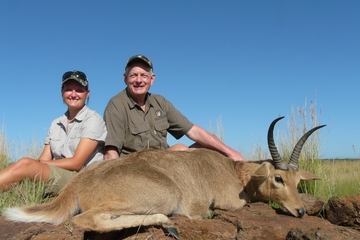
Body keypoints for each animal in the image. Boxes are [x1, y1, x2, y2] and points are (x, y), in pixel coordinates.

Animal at [3, 116, 324, 238]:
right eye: (278, 178)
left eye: (298, 182)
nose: (300, 211)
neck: (235, 172)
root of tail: (77, 183)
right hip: (164, 195)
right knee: (84, 219)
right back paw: (168, 224)